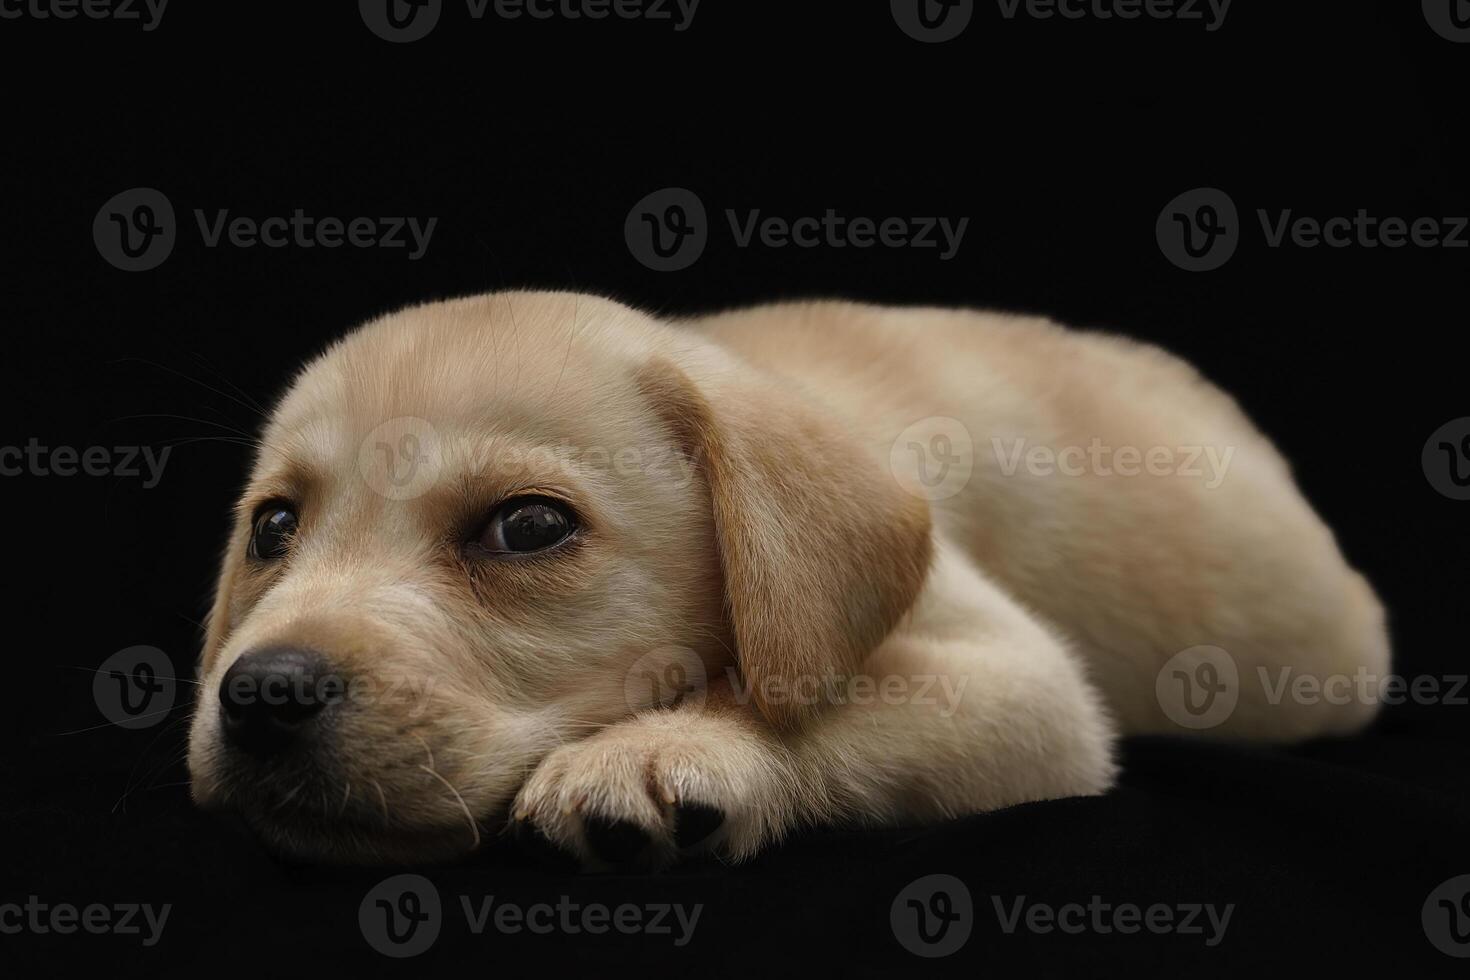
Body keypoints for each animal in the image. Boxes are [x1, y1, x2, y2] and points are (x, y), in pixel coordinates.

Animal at [186, 293, 1387, 863]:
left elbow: (825, 706)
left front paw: (675, 745)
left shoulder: (1025, 685)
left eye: (528, 527)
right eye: (274, 526)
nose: (262, 693)